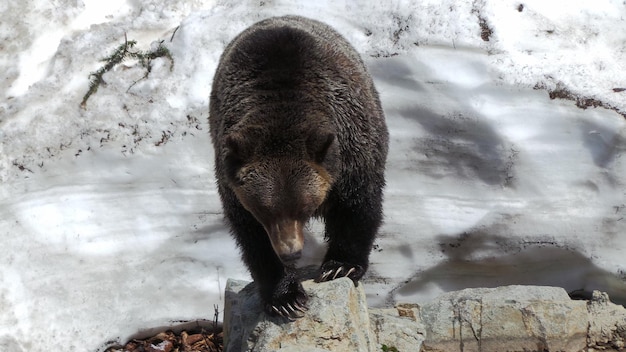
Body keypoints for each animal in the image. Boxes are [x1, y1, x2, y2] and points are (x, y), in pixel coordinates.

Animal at [208, 15, 386, 320]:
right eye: (263, 210)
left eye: (303, 207)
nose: (290, 252)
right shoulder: (233, 181)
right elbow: (253, 239)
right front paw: (286, 297)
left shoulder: (351, 152)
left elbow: (357, 207)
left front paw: (340, 266)